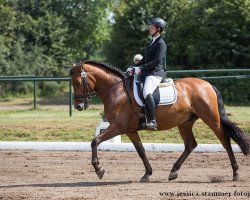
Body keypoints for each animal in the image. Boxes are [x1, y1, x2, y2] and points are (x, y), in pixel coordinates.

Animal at [69, 60, 249, 182]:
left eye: (77, 83)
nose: (78, 106)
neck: (117, 91)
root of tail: (208, 84)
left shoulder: (118, 127)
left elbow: (95, 141)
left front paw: (99, 169)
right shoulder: (130, 130)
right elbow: (141, 150)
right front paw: (147, 173)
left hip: (211, 119)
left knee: (225, 141)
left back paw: (236, 172)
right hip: (184, 122)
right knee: (191, 144)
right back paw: (173, 171)